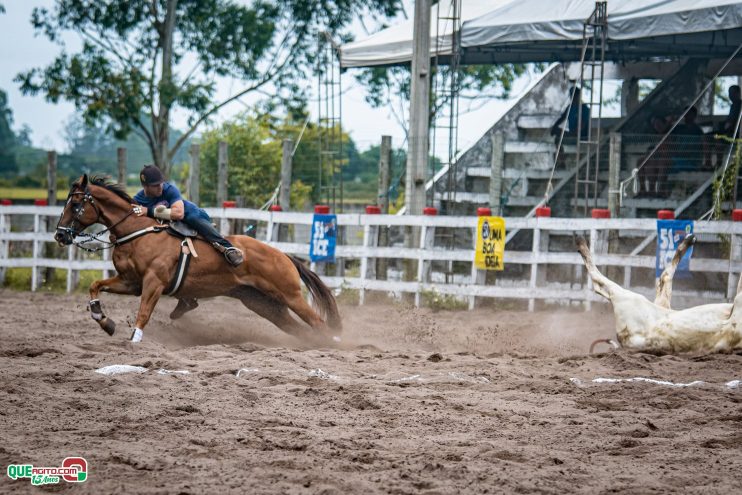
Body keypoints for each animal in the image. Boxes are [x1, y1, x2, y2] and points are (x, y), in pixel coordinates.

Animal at [54, 175, 342, 344]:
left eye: (75, 205)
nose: (60, 234)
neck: (136, 232)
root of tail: (283, 255)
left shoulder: (154, 283)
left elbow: (144, 311)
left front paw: (134, 338)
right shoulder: (130, 282)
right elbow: (95, 287)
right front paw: (105, 321)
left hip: (289, 295)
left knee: (317, 323)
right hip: (263, 303)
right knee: (298, 328)